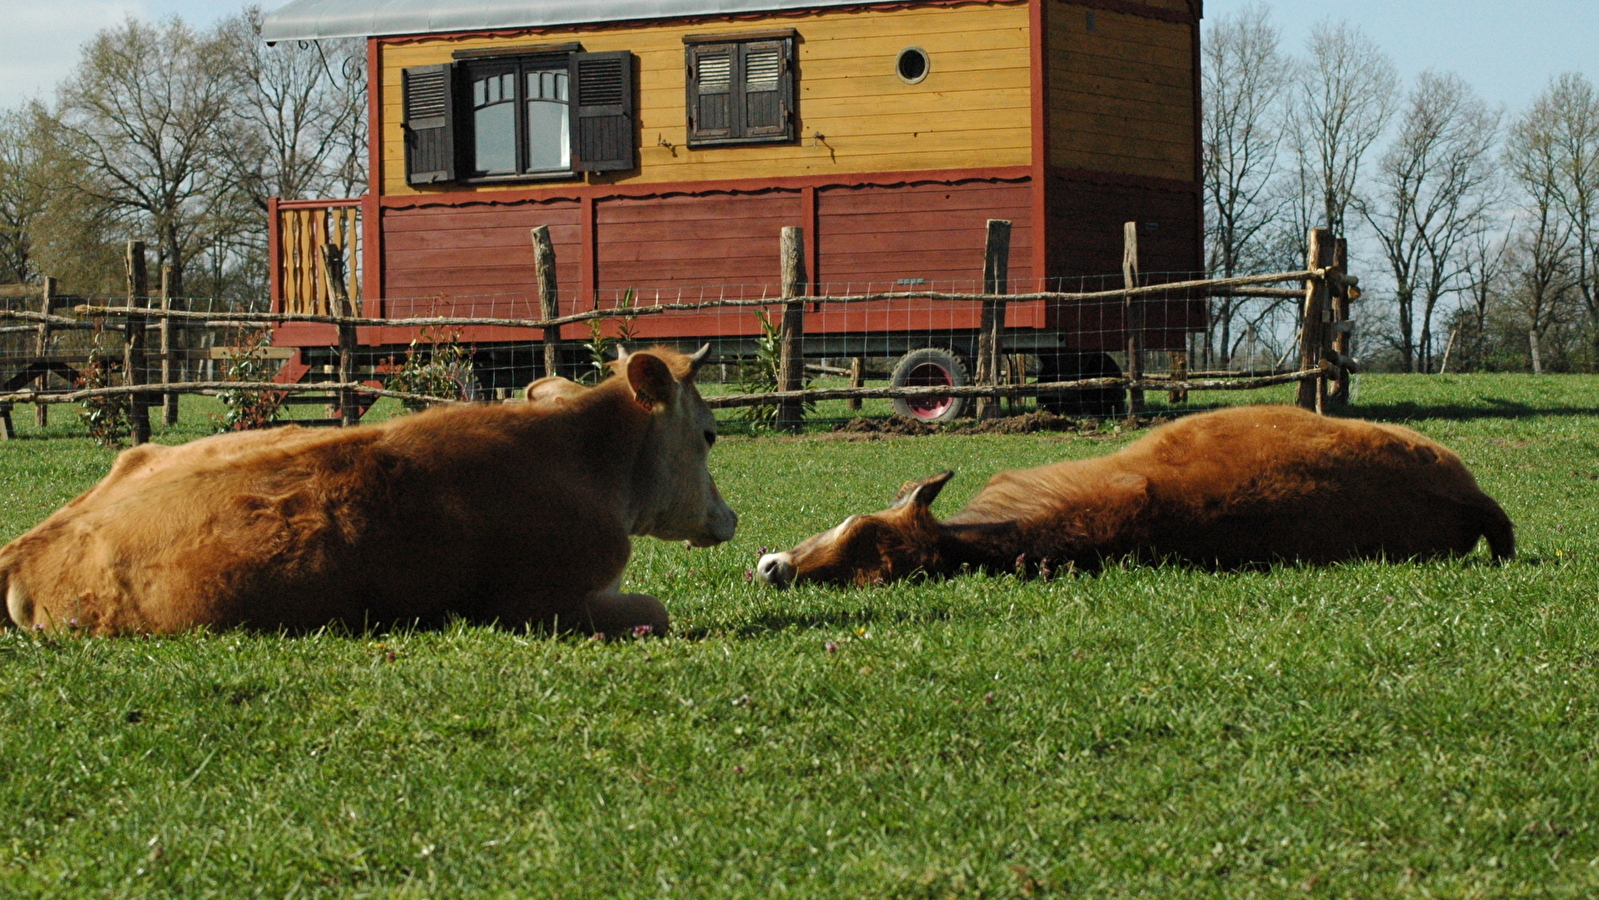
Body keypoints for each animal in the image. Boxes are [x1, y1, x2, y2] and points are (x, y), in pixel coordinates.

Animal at [0, 345, 735, 633]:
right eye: (708, 434)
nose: (729, 516)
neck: (583, 454)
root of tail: (22, 548)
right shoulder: (544, 601)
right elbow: (656, 611)